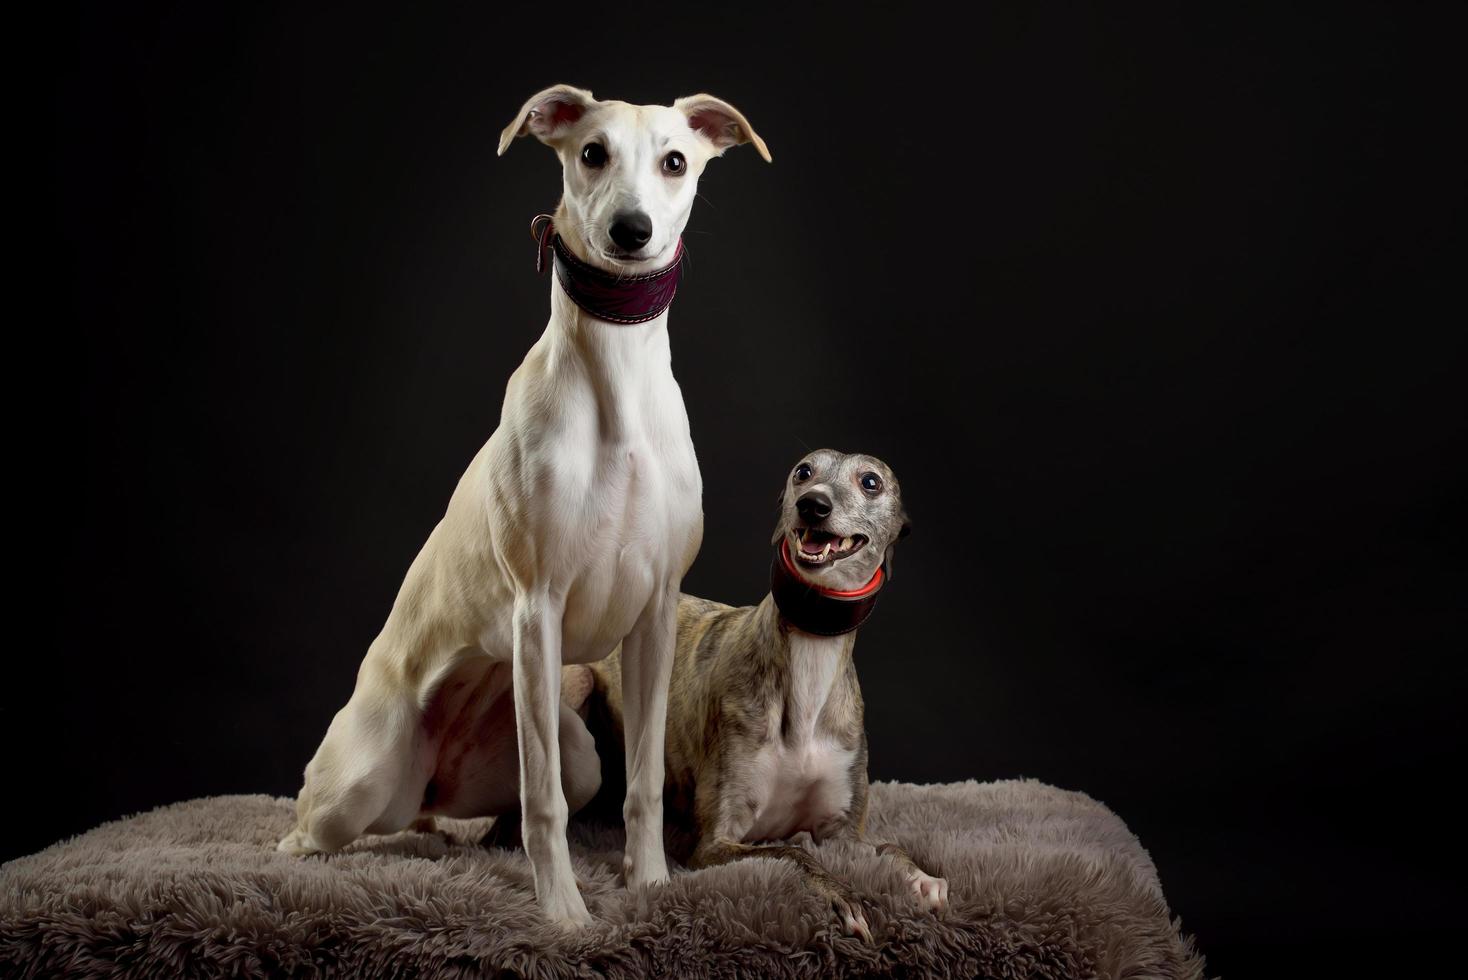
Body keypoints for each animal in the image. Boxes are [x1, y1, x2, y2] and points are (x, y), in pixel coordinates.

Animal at [278, 86, 775, 927]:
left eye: (675, 160)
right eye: (592, 153)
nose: (630, 231)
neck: (616, 381)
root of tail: (430, 787)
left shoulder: (654, 617)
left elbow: (641, 781)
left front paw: (650, 884)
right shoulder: (536, 609)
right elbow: (544, 802)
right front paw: (566, 912)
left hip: (576, 751)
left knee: (516, 802)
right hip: (363, 781)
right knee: (315, 822)